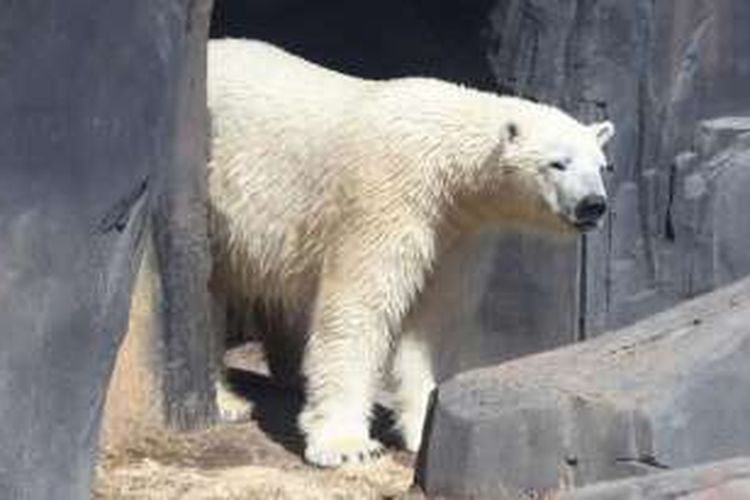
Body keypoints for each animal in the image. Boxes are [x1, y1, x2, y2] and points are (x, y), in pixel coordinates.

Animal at [207, 39, 616, 468]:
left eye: (602, 166)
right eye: (558, 162)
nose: (593, 205)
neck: (448, 167)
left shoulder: (458, 232)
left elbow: (433, 321)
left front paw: (425, 429)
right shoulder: (387, 197)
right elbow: (359, 305)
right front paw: (345, 444)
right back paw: (229, 401)